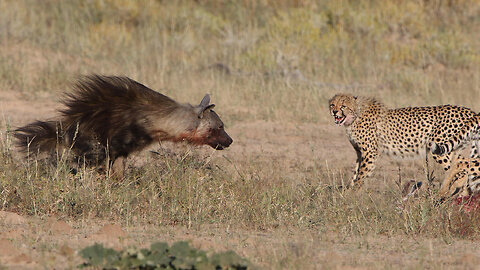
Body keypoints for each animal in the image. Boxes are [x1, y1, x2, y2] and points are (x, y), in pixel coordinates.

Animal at [330, 93, 480, 188]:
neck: (355, 115)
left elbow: (362, 173)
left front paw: (354, 193)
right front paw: (348, 190)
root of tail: (469, 111)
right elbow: (355, 171)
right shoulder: (360, 152)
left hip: (442, 150)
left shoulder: (370, 152)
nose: (334, 112)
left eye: (343, 106)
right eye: (332, 105)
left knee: (462, 168)